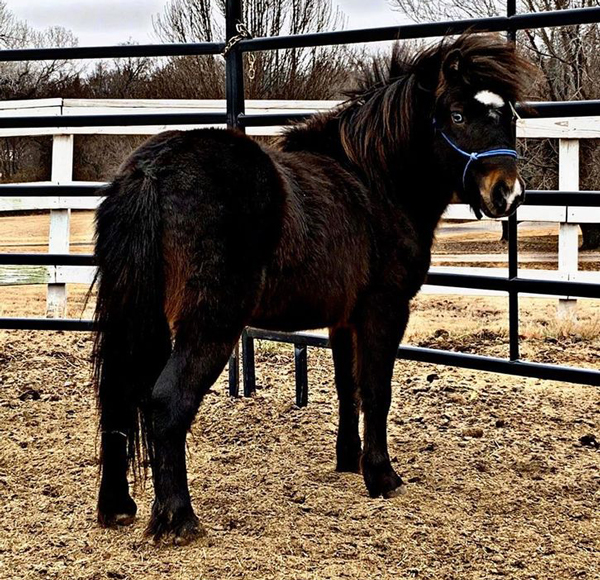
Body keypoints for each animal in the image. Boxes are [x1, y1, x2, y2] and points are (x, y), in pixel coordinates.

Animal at [91, 35, 532, 544]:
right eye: (457, 115)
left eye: (508, 116)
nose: (506, 193)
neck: (374, 182)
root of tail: (152, 171)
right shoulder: (385, 308)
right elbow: (376, 389)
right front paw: (382, 476)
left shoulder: (345, 317)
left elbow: (349, 387)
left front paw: (349, 461)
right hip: (211, 323)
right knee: (166, 402)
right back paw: (179, 519)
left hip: (133, 313)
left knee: (117, 396)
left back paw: (117, 507)